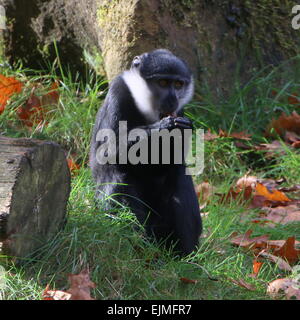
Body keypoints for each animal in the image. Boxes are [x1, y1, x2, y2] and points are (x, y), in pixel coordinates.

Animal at [89, 48, 202, 256]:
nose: (173, 99)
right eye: (163, 83)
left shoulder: (180, 111)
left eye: (178, 84)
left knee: (179, 174)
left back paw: (182, 255)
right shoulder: (119, 91)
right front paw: (163, 127)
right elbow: (105, 153)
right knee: (117, 175)